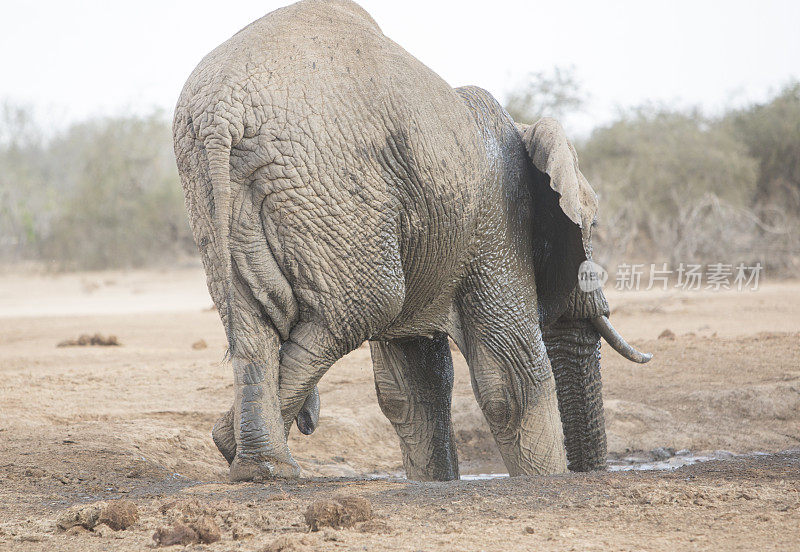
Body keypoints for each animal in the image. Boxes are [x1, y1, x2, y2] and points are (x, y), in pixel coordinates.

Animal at [173, 0, 648, 484]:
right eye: (592, 226)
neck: (522, 125)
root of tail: (221, 113)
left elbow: (414, 384)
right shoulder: (498, 215)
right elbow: (510, 378)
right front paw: (545, 481)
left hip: (221, 186)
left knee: (256, 322)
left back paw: (255, 463)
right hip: (333, 184)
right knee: (367, 305)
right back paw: (252, 455)